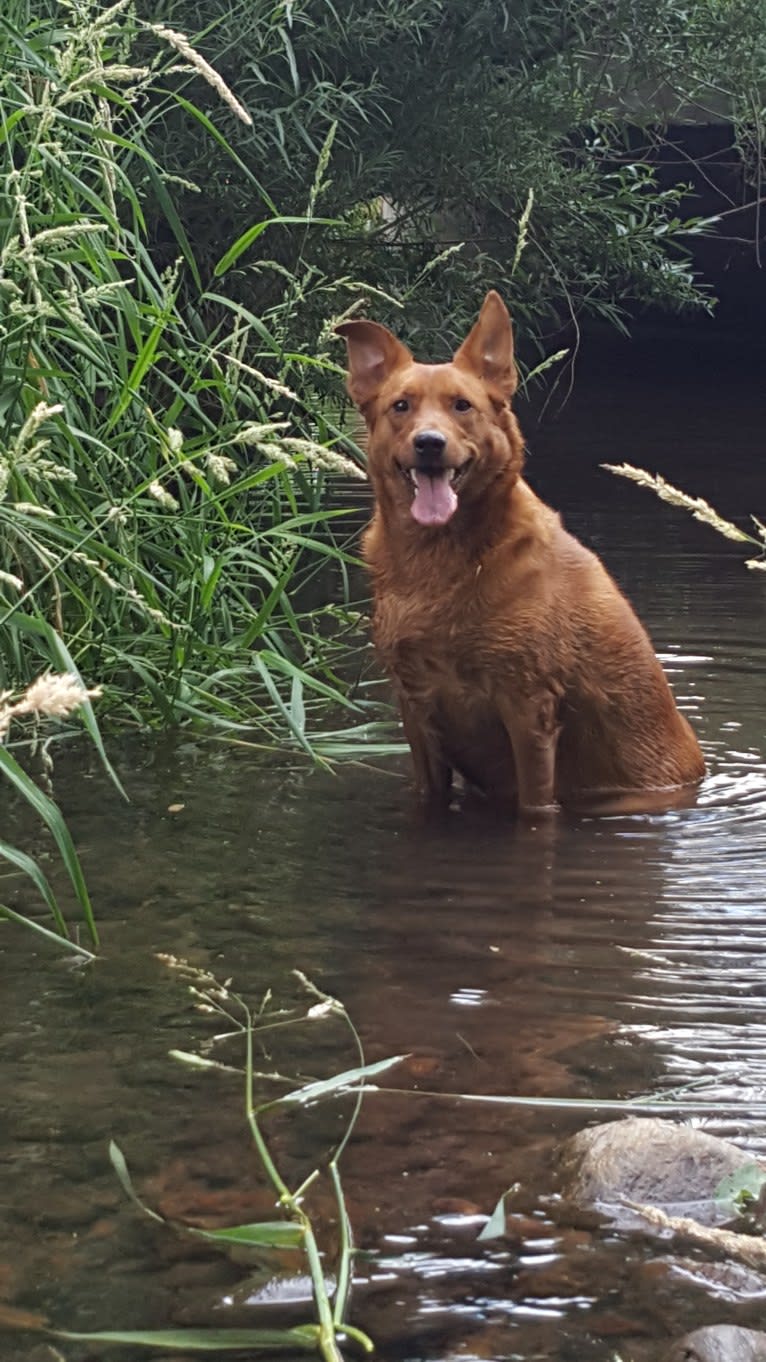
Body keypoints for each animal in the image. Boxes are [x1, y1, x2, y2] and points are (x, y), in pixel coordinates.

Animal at [335, 292, 703, 811]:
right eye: (400, 406)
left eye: (462, 406)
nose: (430, 443)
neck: (437, 564)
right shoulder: (415, 704)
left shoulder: (528, 707)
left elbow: (535, 807)